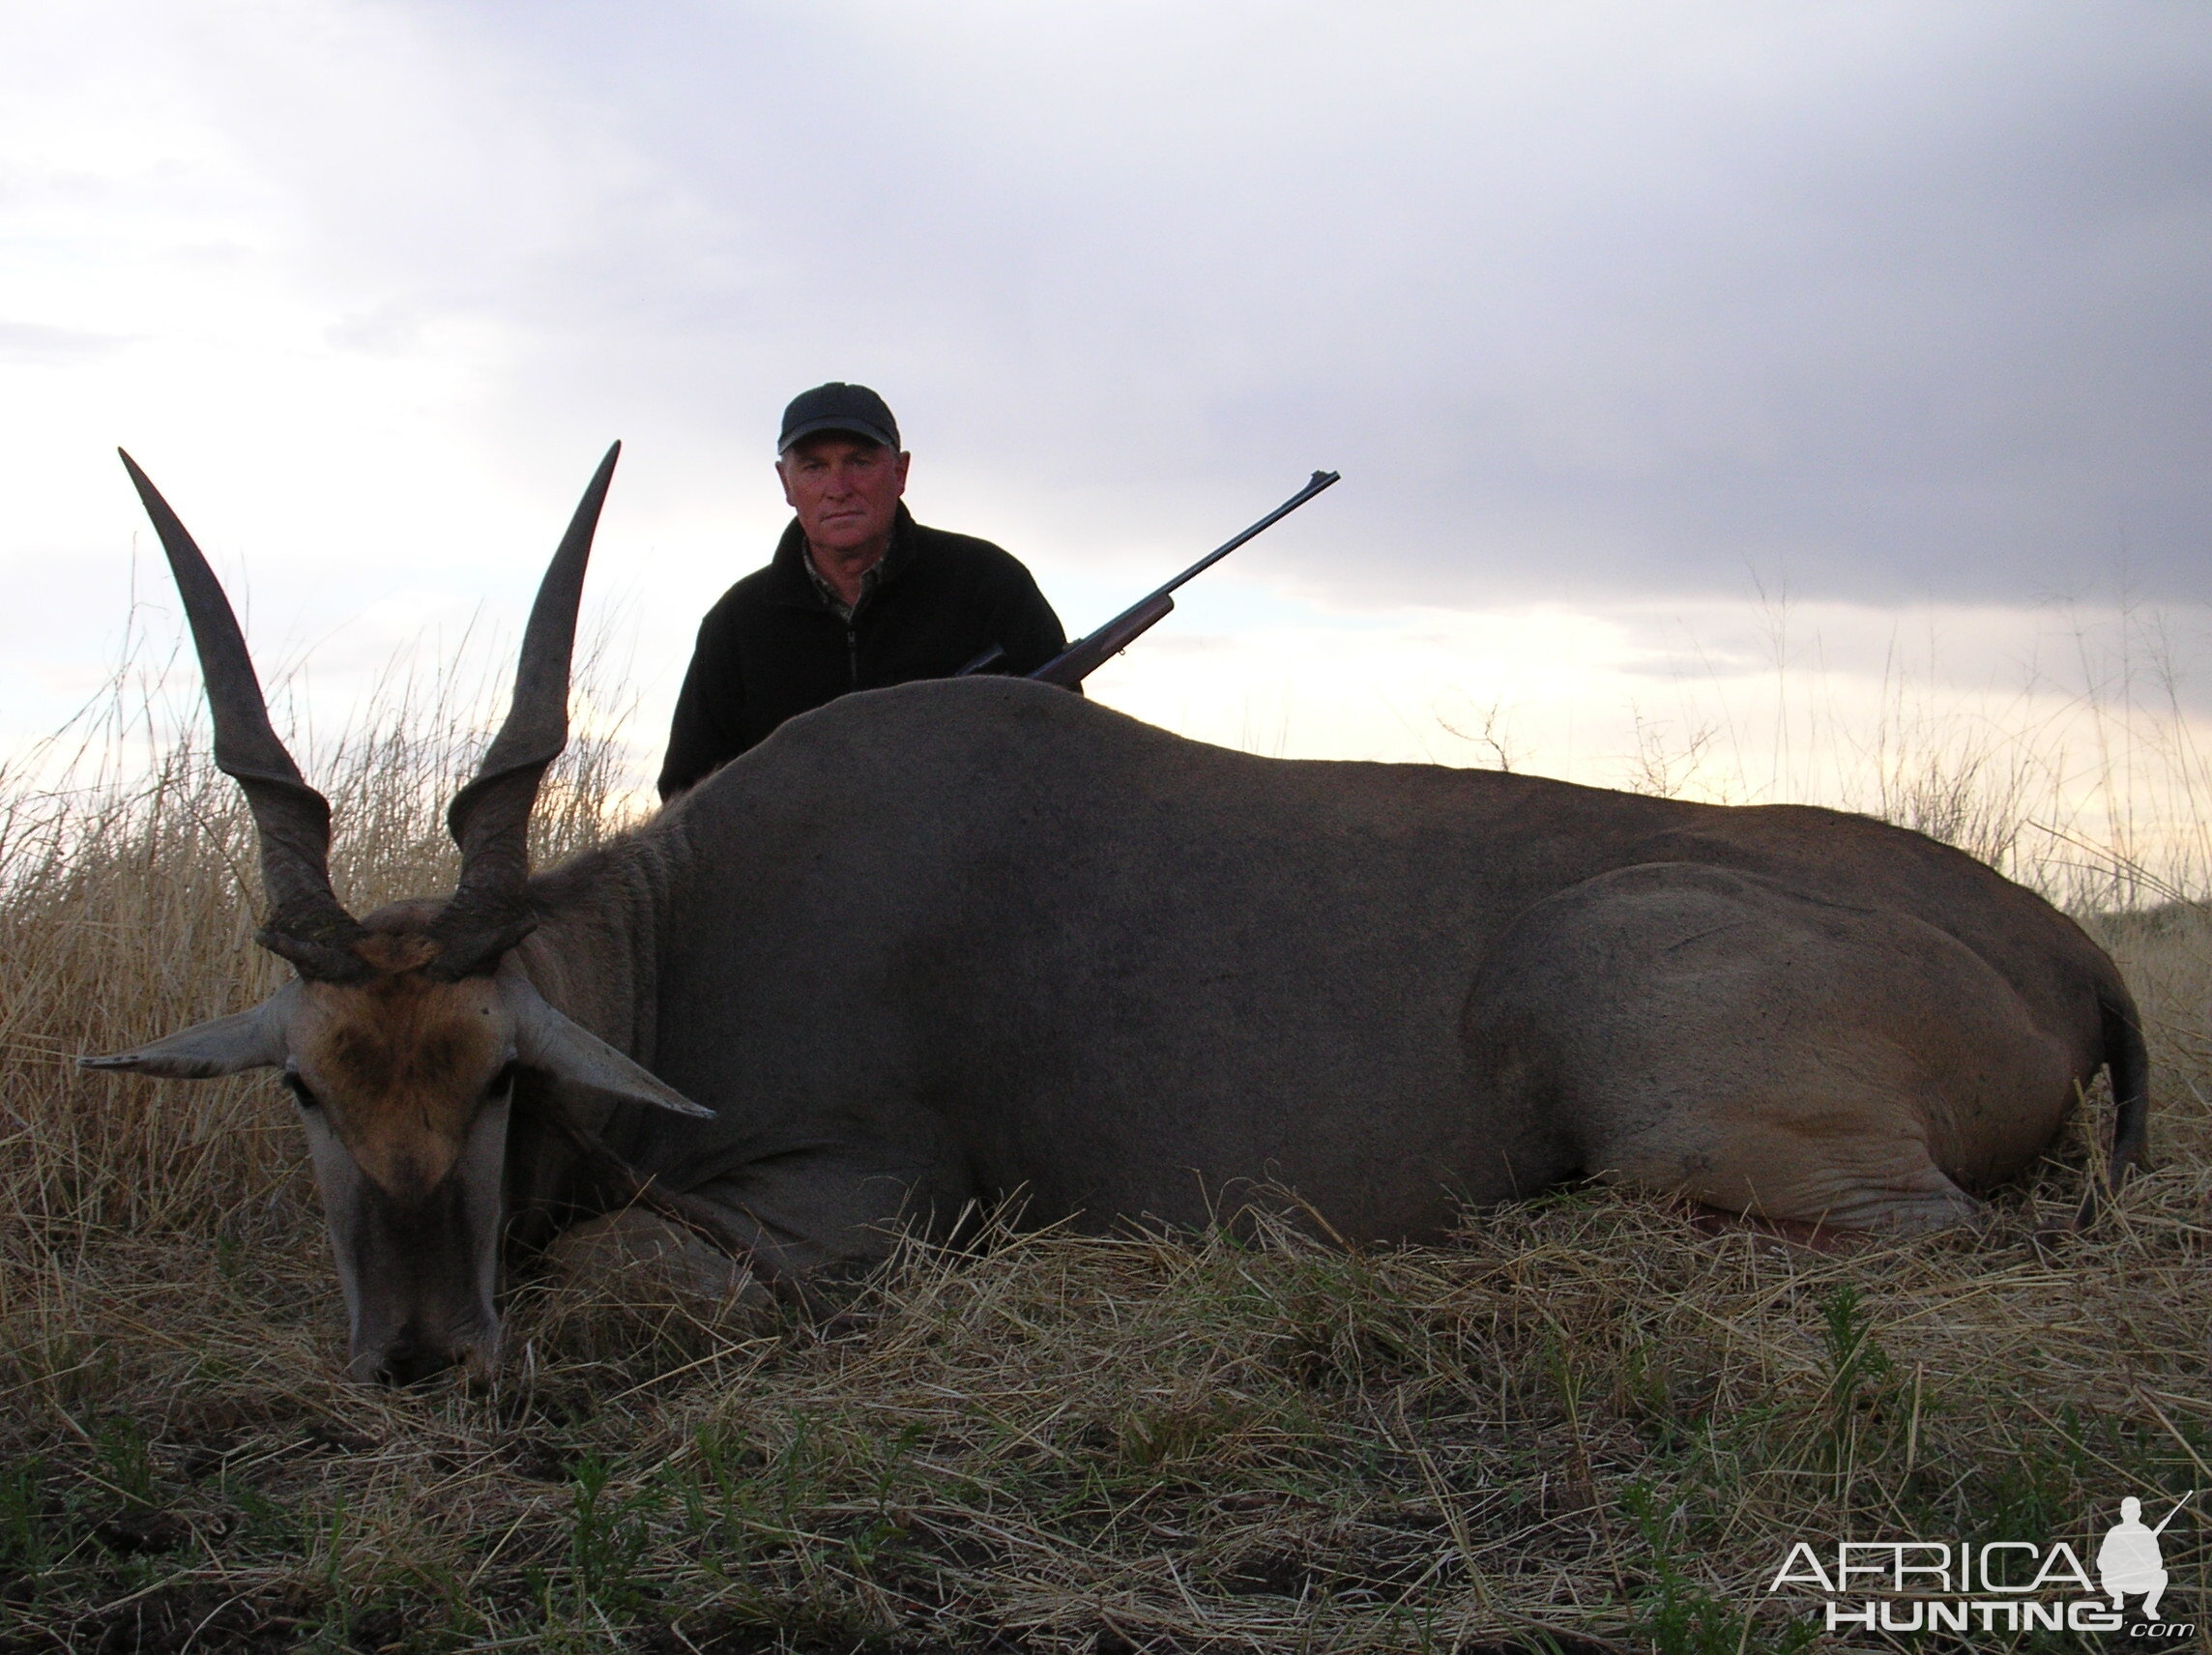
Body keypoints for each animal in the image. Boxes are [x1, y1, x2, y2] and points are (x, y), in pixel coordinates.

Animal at [81, 442, 2140, 1380]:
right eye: (308, 1087)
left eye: (501, 1078)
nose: (421, 1349)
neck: (681, 938)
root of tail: (2055, 948)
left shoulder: (861, 1205)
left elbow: (624, 1271)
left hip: (1647, 1029)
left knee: (1896, 1230)